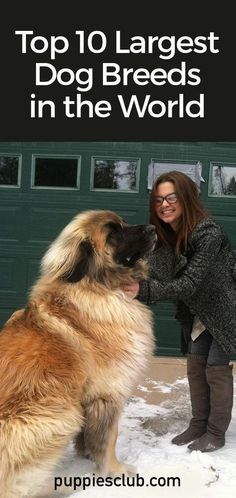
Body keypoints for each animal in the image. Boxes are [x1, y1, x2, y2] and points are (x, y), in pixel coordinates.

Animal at [0, 208, 157, 496]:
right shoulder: (109, 393)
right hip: (60, 413)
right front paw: (115, 470)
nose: (153, 228)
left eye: (124, 223)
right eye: (114, 233)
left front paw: (88, 454)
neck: (97, 285)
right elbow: (109, 437)